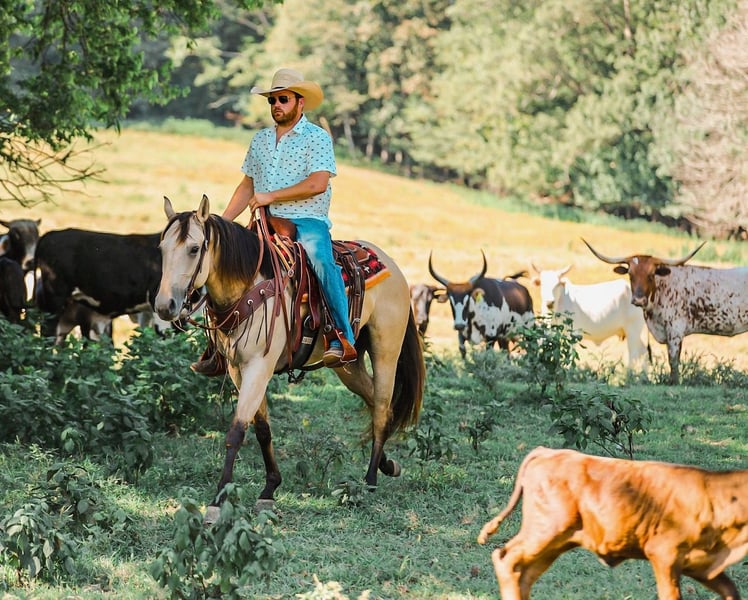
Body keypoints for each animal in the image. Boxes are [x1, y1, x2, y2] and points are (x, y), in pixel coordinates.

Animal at [155, 195, 425, 522]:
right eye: (162, 249)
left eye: (194, 249)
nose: (165, 306)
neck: (247, 286)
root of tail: (393, 266)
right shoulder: (237, 369)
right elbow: (262, 429)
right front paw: (270, 489)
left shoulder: (259, 366)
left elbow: (236, 431)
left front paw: (218, 502)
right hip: (348, 366)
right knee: (374, 401)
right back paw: (387, 464)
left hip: (386, 350)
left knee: (383, 407)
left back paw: (370, 480)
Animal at [477, 446, 748, 600]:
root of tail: (549, 451)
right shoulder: (664, 554)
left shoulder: (702, 566)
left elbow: (731, 591)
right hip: (545, 531)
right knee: (506, 560)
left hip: (555, 543)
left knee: (523, 573)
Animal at [583, 239, 748, 384]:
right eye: (630, 274)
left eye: (651, 275)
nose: (638, 300)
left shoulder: (675, 330)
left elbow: (673, 360)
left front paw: (674, 383)